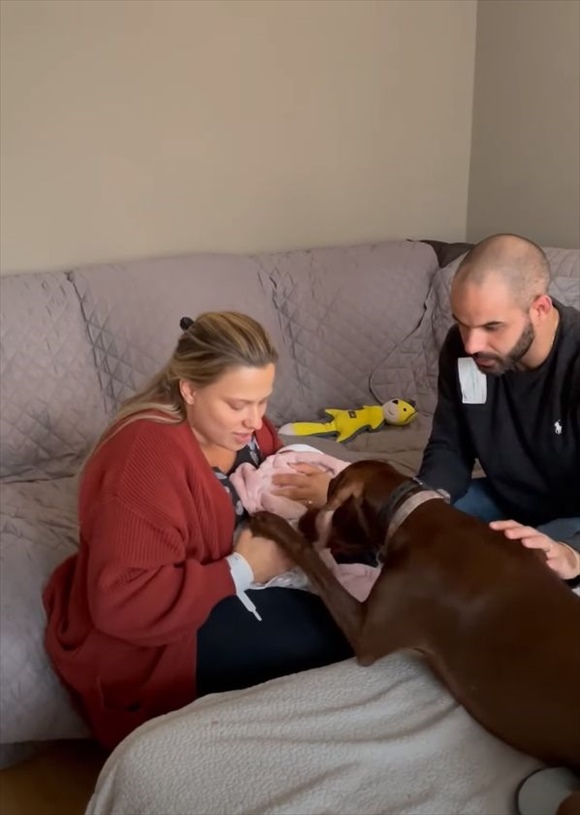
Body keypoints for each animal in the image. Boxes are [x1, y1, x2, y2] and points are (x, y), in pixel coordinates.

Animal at [251, 460, 580, 808]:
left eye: (330, 495)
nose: (304, 517)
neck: (411, 514)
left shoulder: (366, 632)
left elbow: (310, 557)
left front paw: (272, 524)